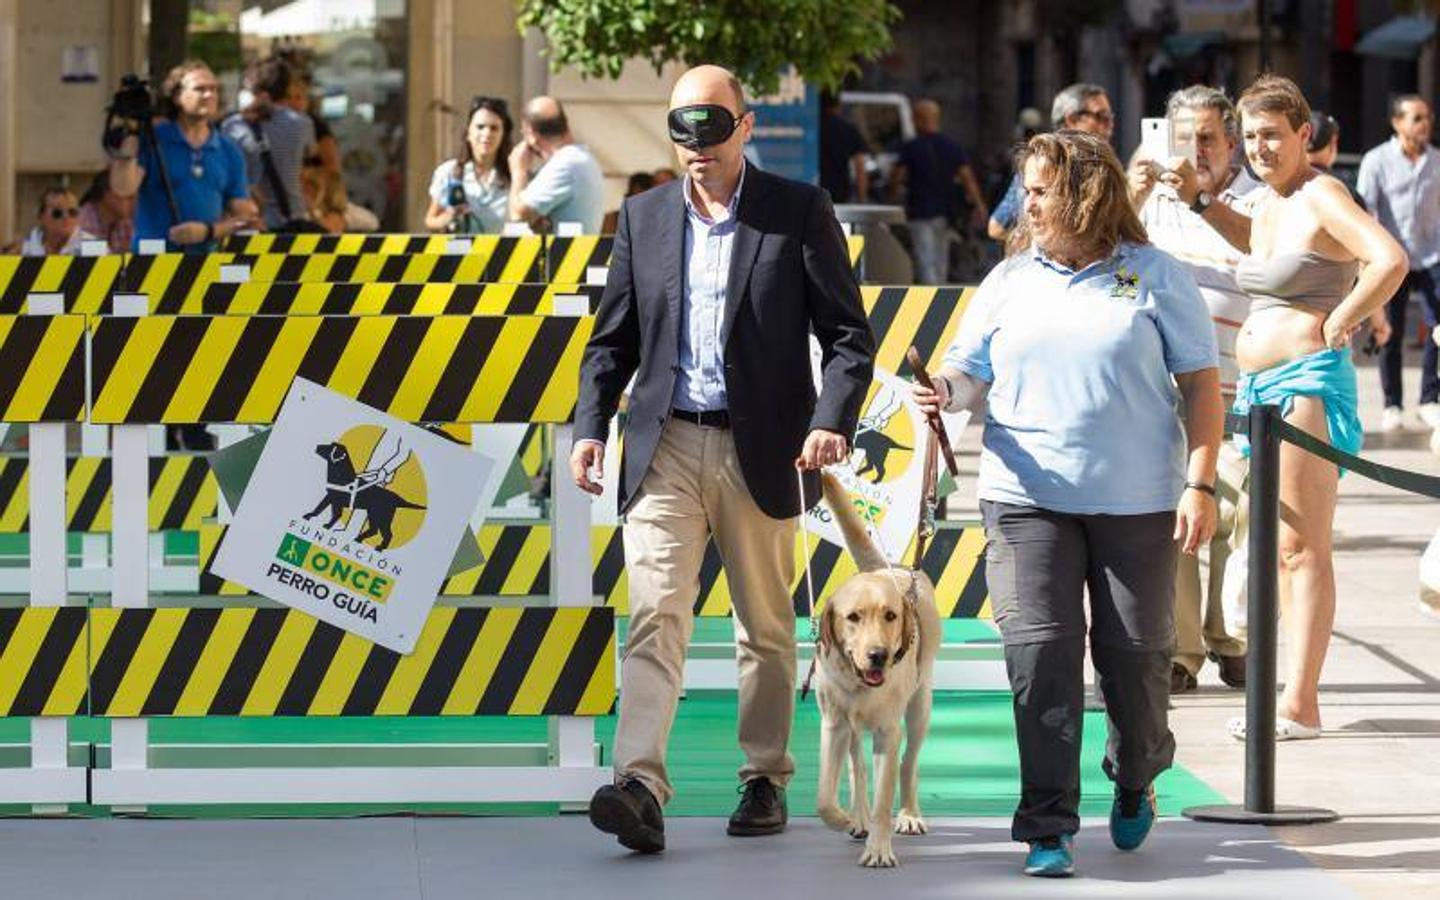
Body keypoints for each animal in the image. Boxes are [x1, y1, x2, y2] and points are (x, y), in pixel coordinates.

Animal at [812, 475, 944, 869]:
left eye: (890, 615)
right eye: (853, 617)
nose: (878, 656)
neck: (859, 684)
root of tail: (885, 567)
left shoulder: (888, 731)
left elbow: (886, 795)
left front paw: (880, 849)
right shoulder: (834, 725)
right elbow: (824, 796)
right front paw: (845, 819)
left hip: (919, 709)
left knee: (908, 763)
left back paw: (910, 814)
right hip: (854, 730)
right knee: (857, 768)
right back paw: (858, 816)